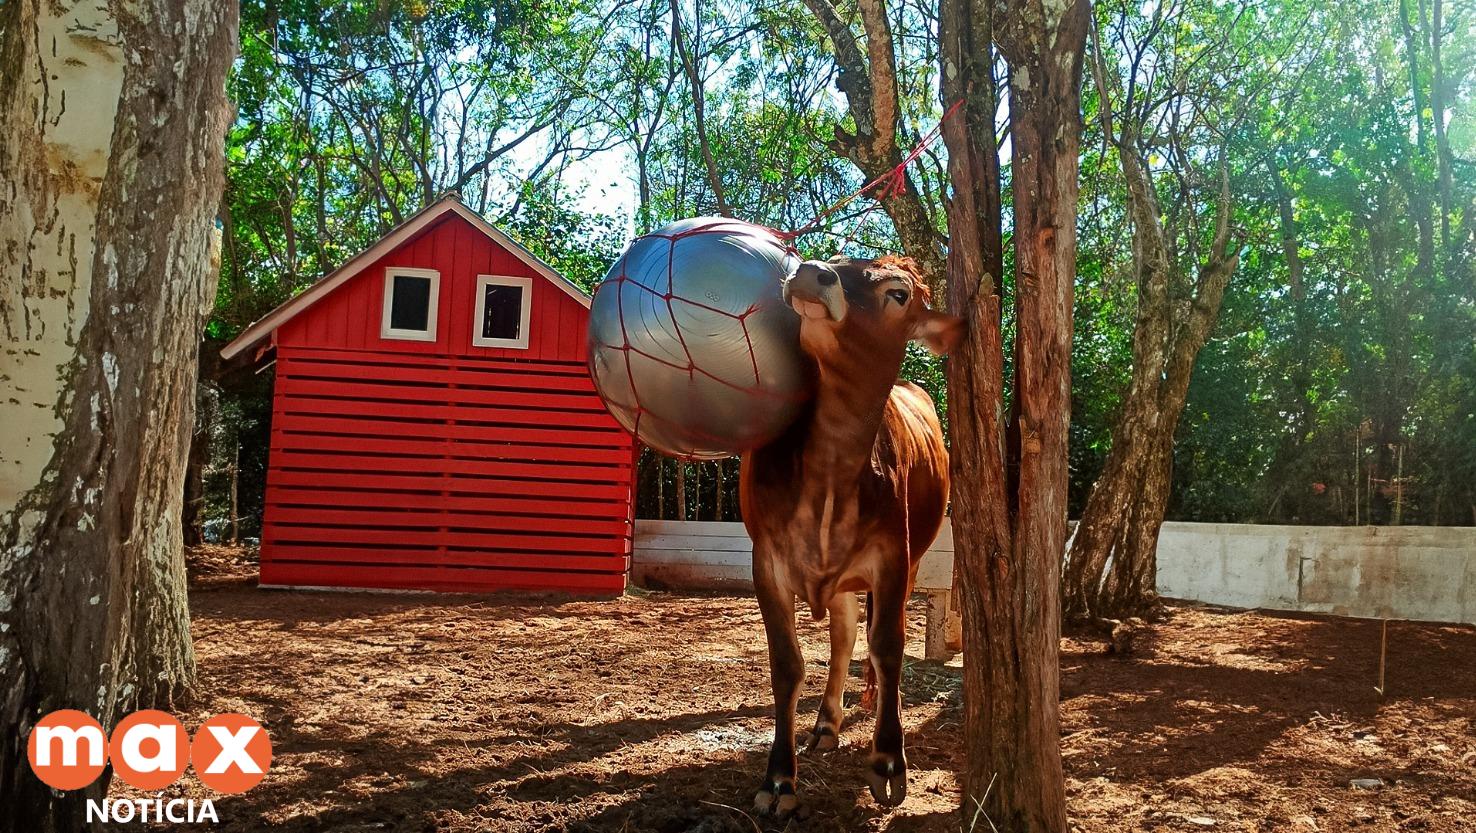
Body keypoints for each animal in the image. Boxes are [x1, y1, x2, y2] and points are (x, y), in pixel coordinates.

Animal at [738, 254, 963, 817]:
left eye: (897, 293)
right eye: (839, 260)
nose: (812, 271)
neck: (833, 468)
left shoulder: (893, 559)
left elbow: (888, 648)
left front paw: (888, 761)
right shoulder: (766, 561)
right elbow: (787, 665)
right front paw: (780, 779)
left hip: (908, 559)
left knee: (867, 637)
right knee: (842, 631)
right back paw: (825, 724)